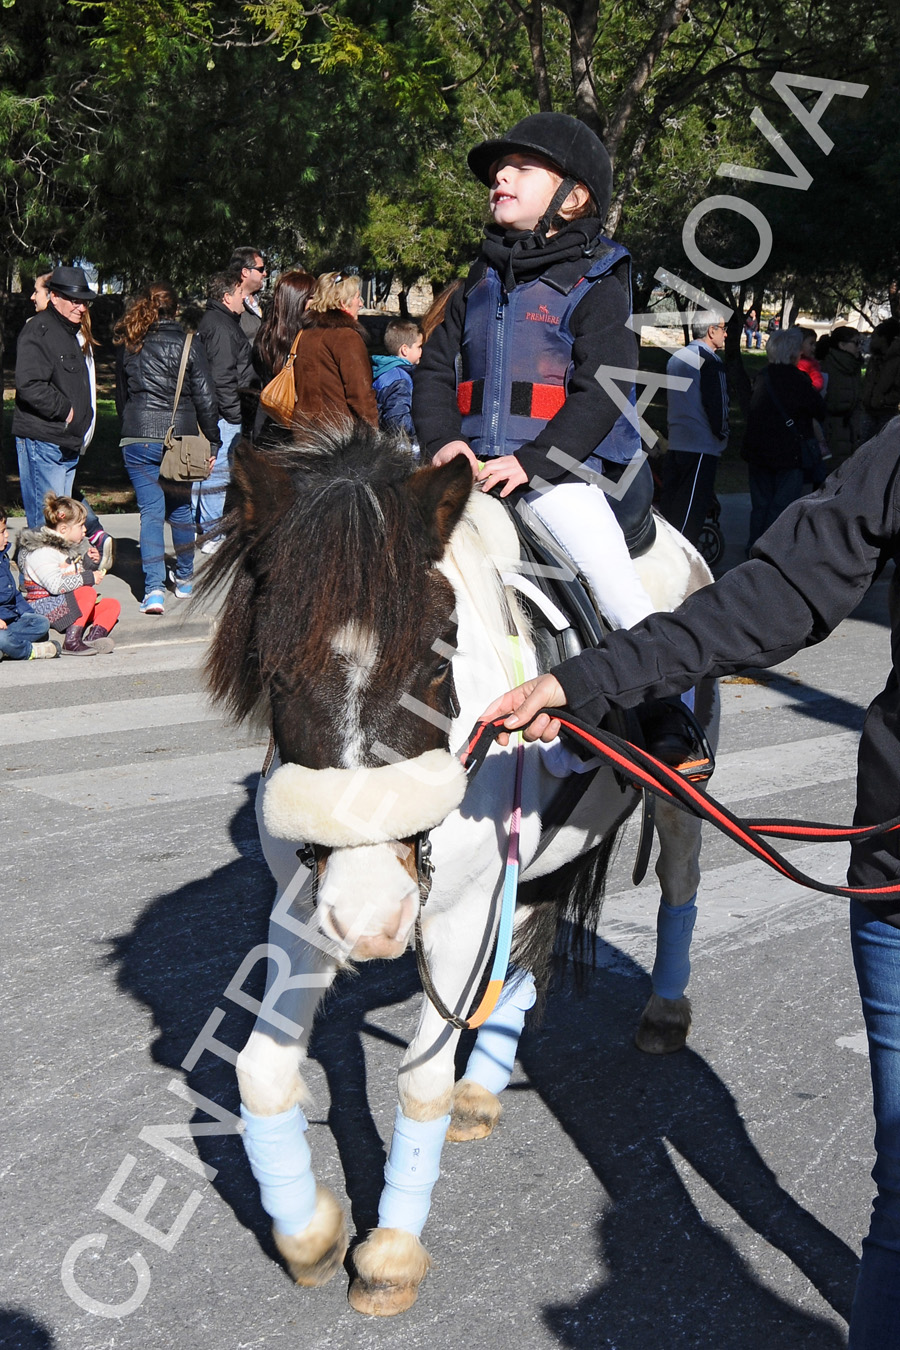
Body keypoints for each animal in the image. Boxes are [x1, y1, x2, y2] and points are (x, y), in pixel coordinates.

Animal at [202, 426, 717, 1312]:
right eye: (273, 671)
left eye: (437, 664)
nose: (372, 918)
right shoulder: (304, 910)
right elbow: (263, 1072)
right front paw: (307, 1233)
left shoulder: (456, 919)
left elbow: (419, 1081)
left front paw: (390, 1251)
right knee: (526, 955)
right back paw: (487, 1082)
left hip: (675, 807)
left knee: (676, 894)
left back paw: (663, 1011)